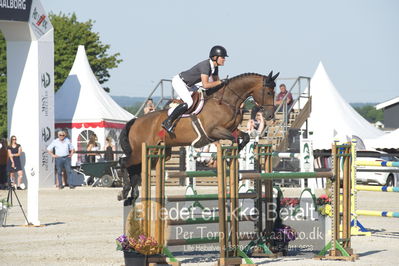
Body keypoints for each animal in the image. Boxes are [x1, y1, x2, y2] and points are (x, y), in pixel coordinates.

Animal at [119, 70, 280, 204]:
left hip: (156, 153)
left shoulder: (232, 129)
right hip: (140, 151)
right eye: (268, 92)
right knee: (124, 162)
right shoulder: (214, 131)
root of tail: (135, 120)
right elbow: (233, 140)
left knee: (135, 169)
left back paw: (132, 196)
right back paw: (124, 192)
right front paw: (227, 157)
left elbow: (244, 138)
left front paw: (228, 159)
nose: (270, 116)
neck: (226, 101)